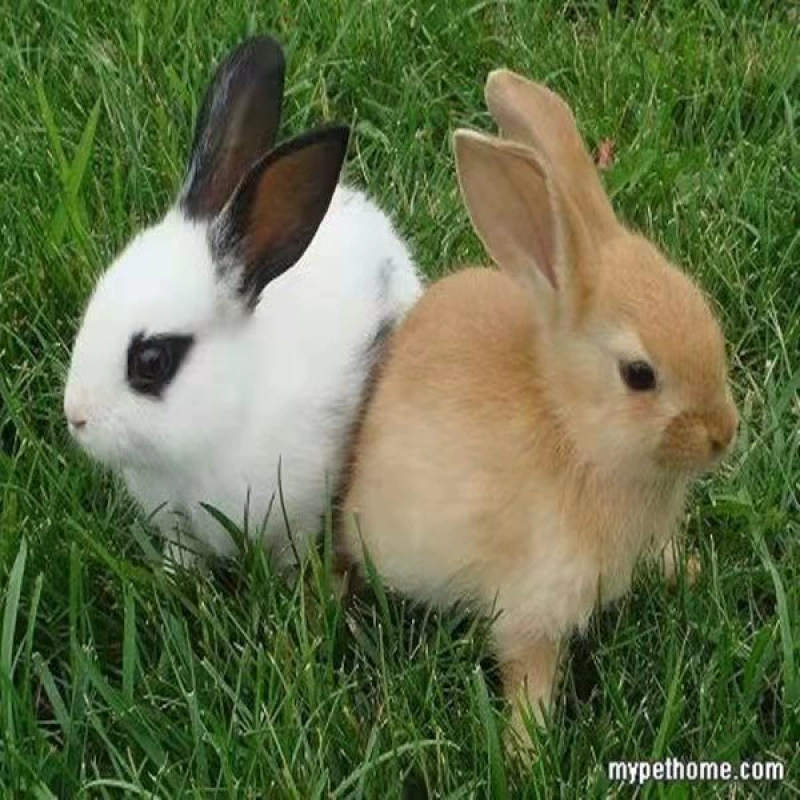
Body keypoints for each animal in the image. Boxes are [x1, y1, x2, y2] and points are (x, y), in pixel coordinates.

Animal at [338, 69, 737, 743]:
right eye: (639, 375)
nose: (722, 433)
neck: (572, 426)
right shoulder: (533, 607)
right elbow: (530, 674)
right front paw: (529, 750)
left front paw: (693, 573)